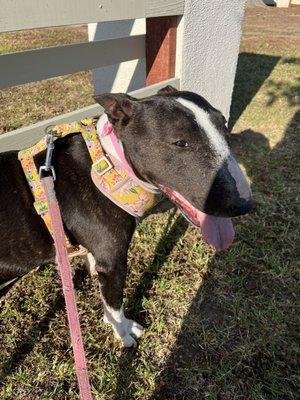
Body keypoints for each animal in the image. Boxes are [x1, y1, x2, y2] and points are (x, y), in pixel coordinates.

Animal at [0, 86, 252, 346]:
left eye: (224, 125)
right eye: (180, 142)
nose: (244, 204)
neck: (111, 163)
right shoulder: (113, 265)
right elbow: (116, 306)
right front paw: (123, 332)